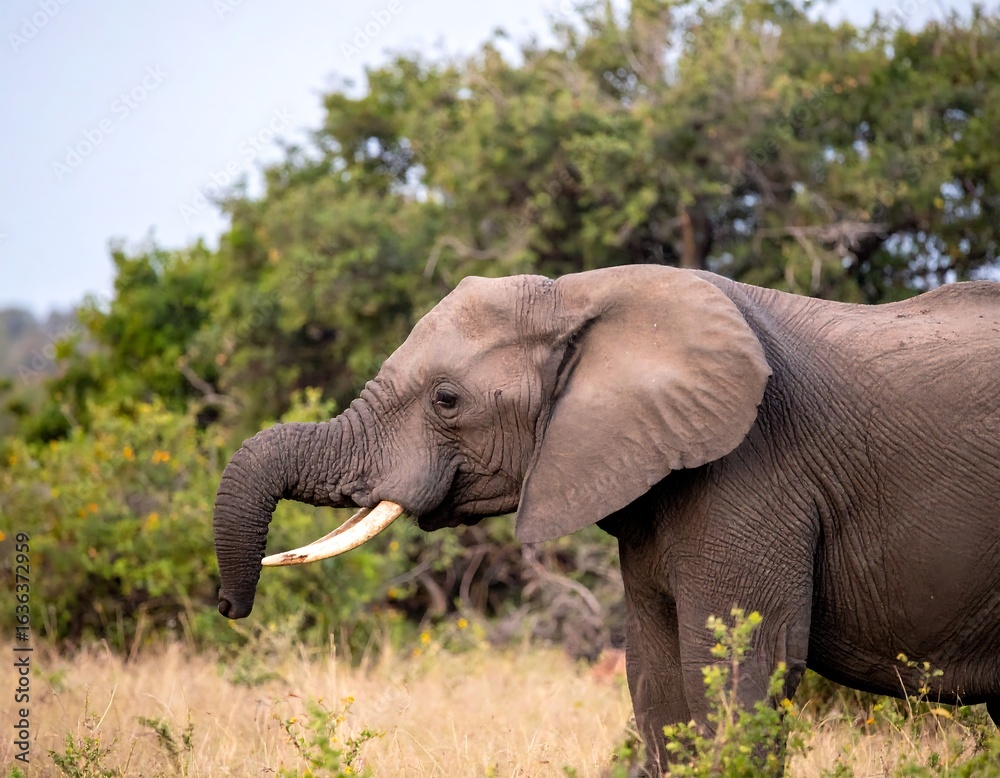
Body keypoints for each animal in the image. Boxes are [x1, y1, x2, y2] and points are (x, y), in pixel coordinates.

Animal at [213, 264, 1000, 773]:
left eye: (446, 399)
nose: (228, 606)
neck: (579, 297)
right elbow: (659, 689)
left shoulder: (755, 471)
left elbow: (738, 678)